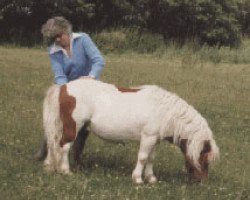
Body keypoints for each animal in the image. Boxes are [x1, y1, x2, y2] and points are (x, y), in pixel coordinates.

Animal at [43, 79, 219, 184]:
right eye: (204, 158)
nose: (202, 182)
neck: (164, 111)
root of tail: (64, 87)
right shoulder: (148, 137)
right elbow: (142, 158)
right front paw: (138, 179)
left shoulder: (154, 140)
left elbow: (151, 158)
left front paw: (151, 178)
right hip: (72, 127)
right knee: (64, 147)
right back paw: (66, 171)